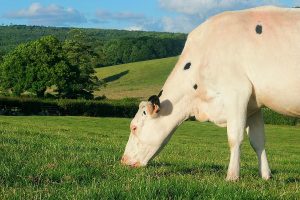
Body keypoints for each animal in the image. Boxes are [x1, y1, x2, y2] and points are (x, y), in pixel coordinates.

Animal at [120, 5, 298, 181]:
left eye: (134, 127)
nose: (123, 160)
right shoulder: (253, 105)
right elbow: (258, 141)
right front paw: (266, 176)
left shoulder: (237, 92)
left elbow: (235, 137)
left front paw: (232, 176)